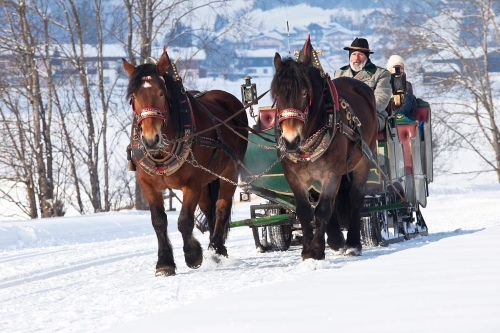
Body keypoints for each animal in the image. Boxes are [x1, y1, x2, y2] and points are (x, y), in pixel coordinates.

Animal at [123, 50, 248, 274]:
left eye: (161, 93)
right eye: (134, 97)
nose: (150, 139)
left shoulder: (191, 184)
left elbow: (184, 220)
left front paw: (193, 255)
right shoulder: (148, 185)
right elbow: (158, 221)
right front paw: (164, 263)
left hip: (229, 172)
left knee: (221, 207)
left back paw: (217, 249)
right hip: (207, 180)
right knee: (209, 209)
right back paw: (216, 247)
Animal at [272, 37, 376, 260]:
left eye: (304, 93)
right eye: (276, 95)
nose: (291, 140)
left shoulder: (331, 172)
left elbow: (322, 210)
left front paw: (316, 250)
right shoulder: (293, 175)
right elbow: (305, 210)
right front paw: (307, 249)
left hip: (363, 160)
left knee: (355, 196)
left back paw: (352, 243)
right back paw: (336, 238)